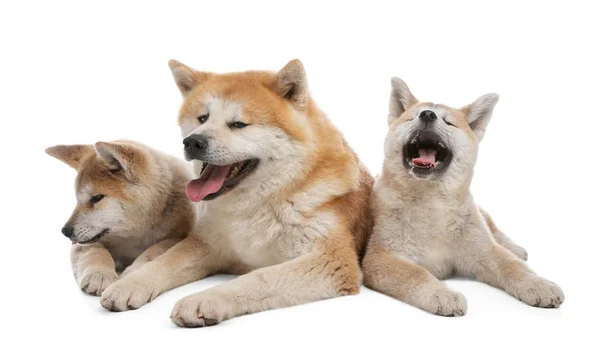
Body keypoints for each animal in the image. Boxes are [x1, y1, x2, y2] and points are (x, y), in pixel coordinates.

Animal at [47, 141, 197, 296]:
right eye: (77, 200)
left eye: (97, 198)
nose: (65, 231)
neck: (136, 231)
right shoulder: (87, 242)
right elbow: (95, 252)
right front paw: (99, 274)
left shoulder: (179, 236)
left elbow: (154, 251)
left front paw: (132, 273)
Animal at [100, 59, 372, 328]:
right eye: (202, 118)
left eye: (239, 125)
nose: (193, 142)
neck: (257, 205)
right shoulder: (206, 243)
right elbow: (164, 262)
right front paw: (129, 284)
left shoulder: (330, 260)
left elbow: (258, 278)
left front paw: (204, 300)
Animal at [364, 78, 564, 316]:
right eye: (412, 117)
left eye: (449, 122)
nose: (427, 114)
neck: (431, 205)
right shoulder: (382, 256)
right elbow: (416, 274)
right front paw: (441, 294)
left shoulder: (483, 250)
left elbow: (512, 266)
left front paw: (539, 284)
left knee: (495, 230)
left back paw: (514, 248)